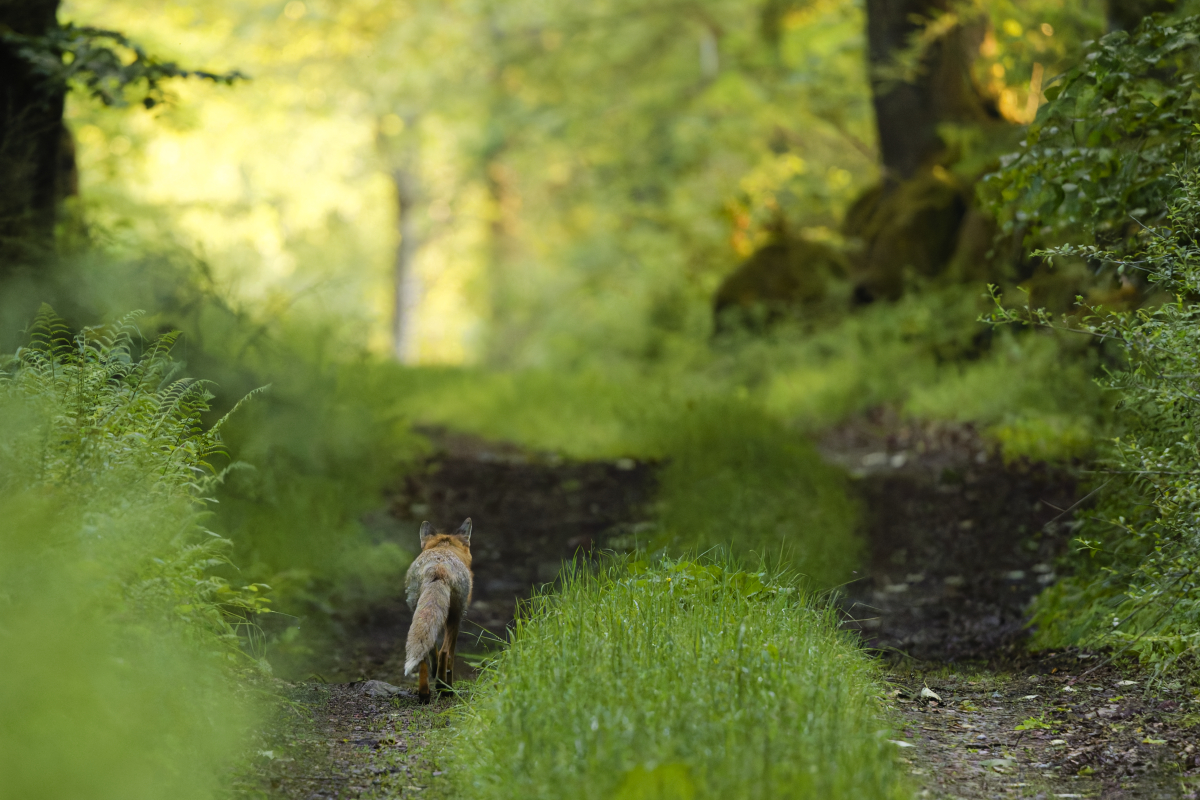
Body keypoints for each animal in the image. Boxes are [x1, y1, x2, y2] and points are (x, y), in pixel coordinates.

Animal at [404, 518, 473, 703]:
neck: (444, 549)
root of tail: (439, 566)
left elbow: (431, 648)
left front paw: (434, 672)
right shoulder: (458, 619)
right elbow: (447, 655)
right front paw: (444, 683)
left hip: (416, 609)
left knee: (423, 656)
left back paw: (424, 694)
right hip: (454, 616)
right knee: (445, 652)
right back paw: (445, 688)